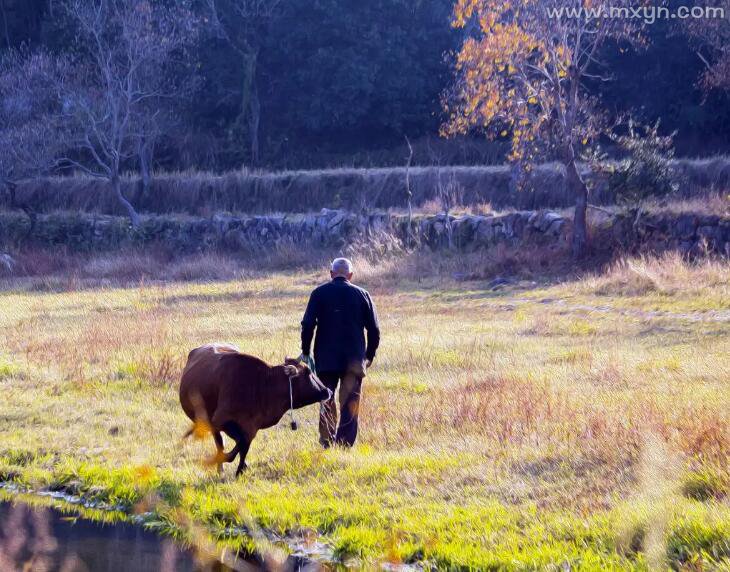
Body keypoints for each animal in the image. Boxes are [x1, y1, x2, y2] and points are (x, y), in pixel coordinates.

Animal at [180, 344, 332, 474]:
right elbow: (235, 445)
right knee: (219, 442)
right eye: (308, 372)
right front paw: (228, 461)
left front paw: (240, 470)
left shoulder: (252, 426)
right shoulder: (220, 420)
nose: (328, 391)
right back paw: (220, 468)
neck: (261, 384)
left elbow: (243, 445)